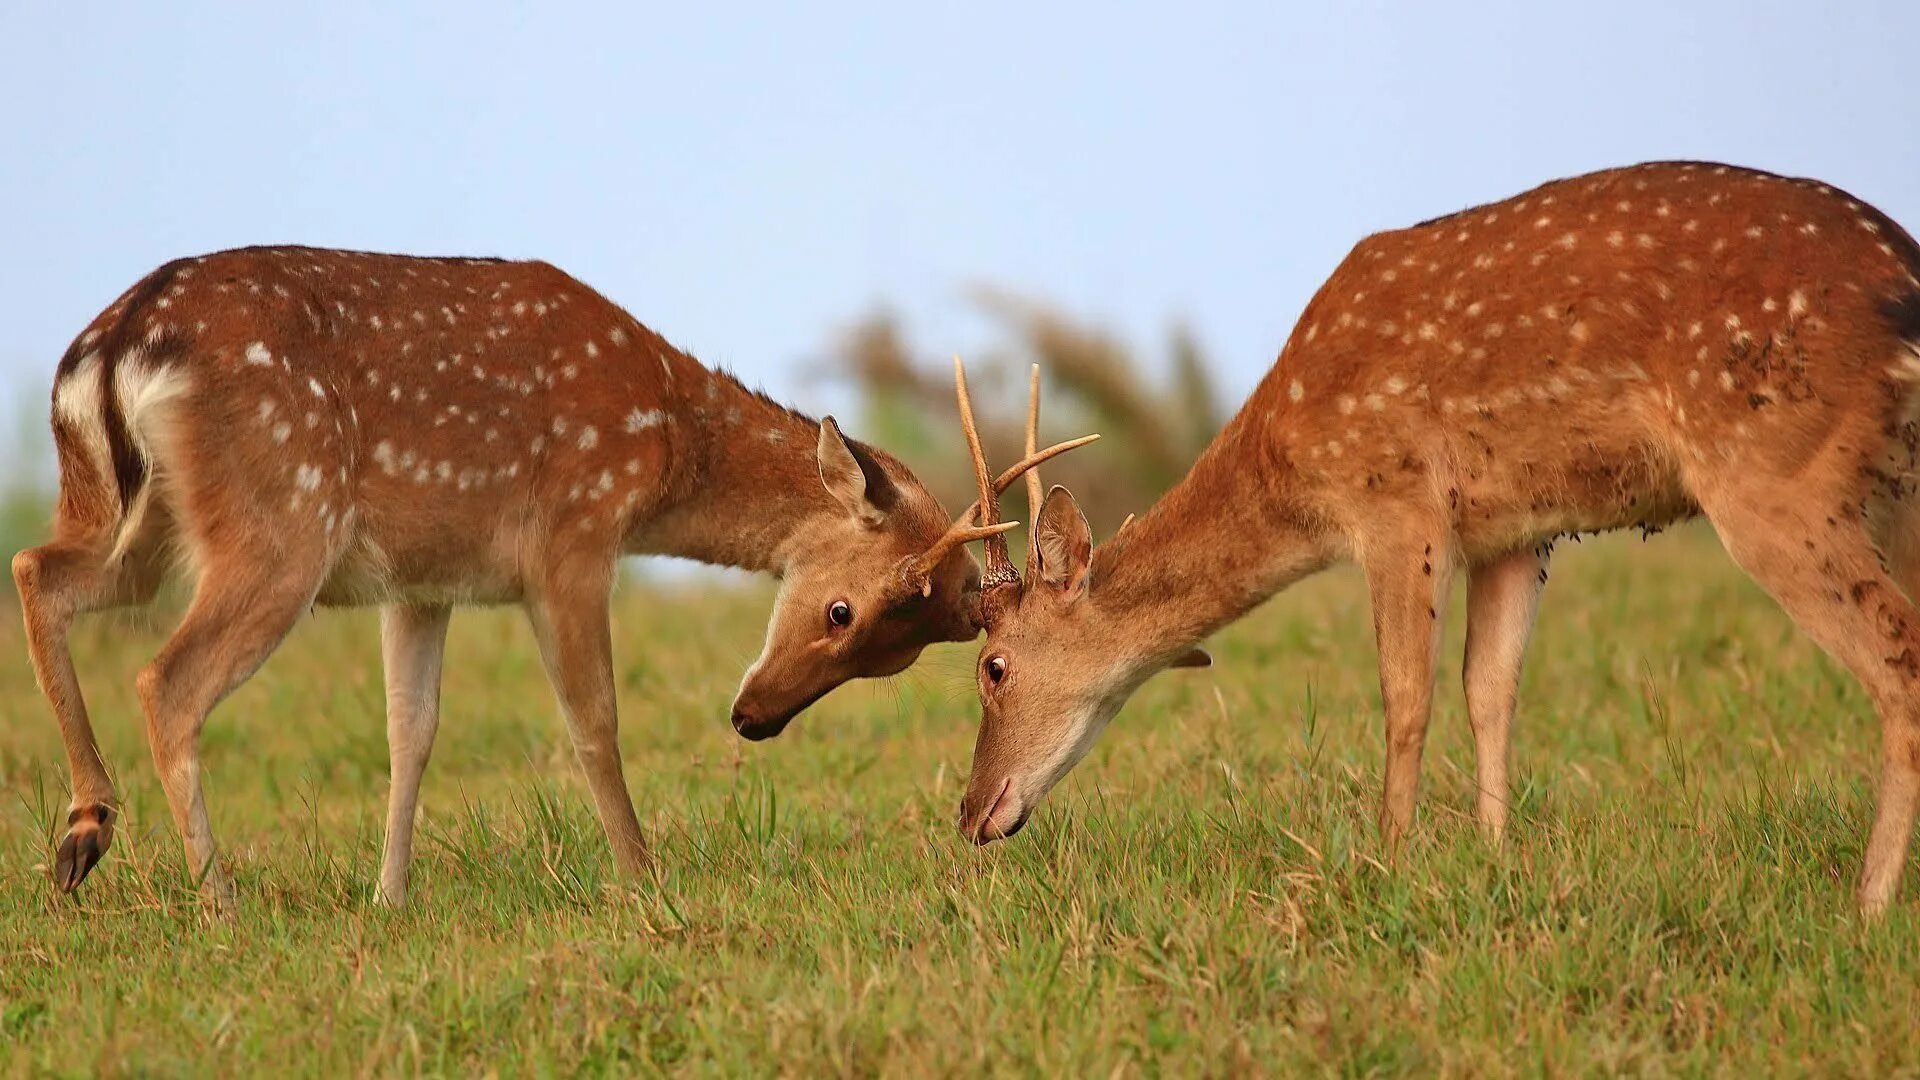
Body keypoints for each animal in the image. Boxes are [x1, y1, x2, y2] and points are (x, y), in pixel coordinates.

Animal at [11, 245, 1098, 907]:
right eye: (841, 610)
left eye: (893, 655)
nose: (754, 720)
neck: (663, 441)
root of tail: (110, 349)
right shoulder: (572, 537)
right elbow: (594, 721)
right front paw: (645, 879)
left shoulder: (423, 581)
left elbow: (411, 732)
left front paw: (389, 896)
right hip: (281, 523)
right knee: (166, 680)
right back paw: (219, 900)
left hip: (134, 519)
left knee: (37, 568)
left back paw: (82, 834)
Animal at [948, 164, 1920, 910]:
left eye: (992, 667)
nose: (969, 813)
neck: (1291, 455)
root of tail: (1901, 276)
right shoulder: (1516, 529)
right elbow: (1489, 689)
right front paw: (1493, 858)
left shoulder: (1395, 499)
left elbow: (1405, 695)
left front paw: (1388, 859)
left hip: (1776, 473)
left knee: (1898, 656)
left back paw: (1868, 907)